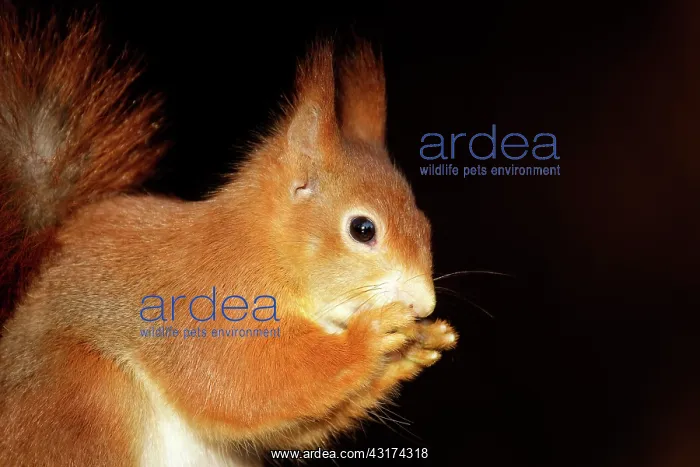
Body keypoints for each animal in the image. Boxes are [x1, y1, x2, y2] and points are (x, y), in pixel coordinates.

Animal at [0, 9, 458, 467]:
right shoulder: (211, 301)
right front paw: (371, 336)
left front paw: (415, 348)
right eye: (363, 229)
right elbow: (243, 382)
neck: (262, 246)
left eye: (425, 222)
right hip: (81, 400)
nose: (424, 304)